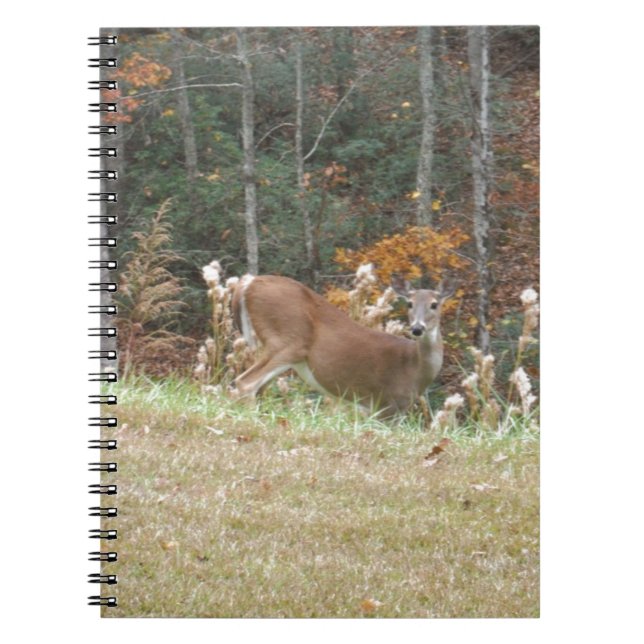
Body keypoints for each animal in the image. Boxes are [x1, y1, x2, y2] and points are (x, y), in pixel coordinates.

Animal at [230, 274, 453, 418]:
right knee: (246, 382)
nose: (417, 328)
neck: (413, 366)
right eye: (409, 303)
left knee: (258, 387)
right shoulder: (387, 404)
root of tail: (249, 282)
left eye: (434, 304)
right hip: (289, 340)